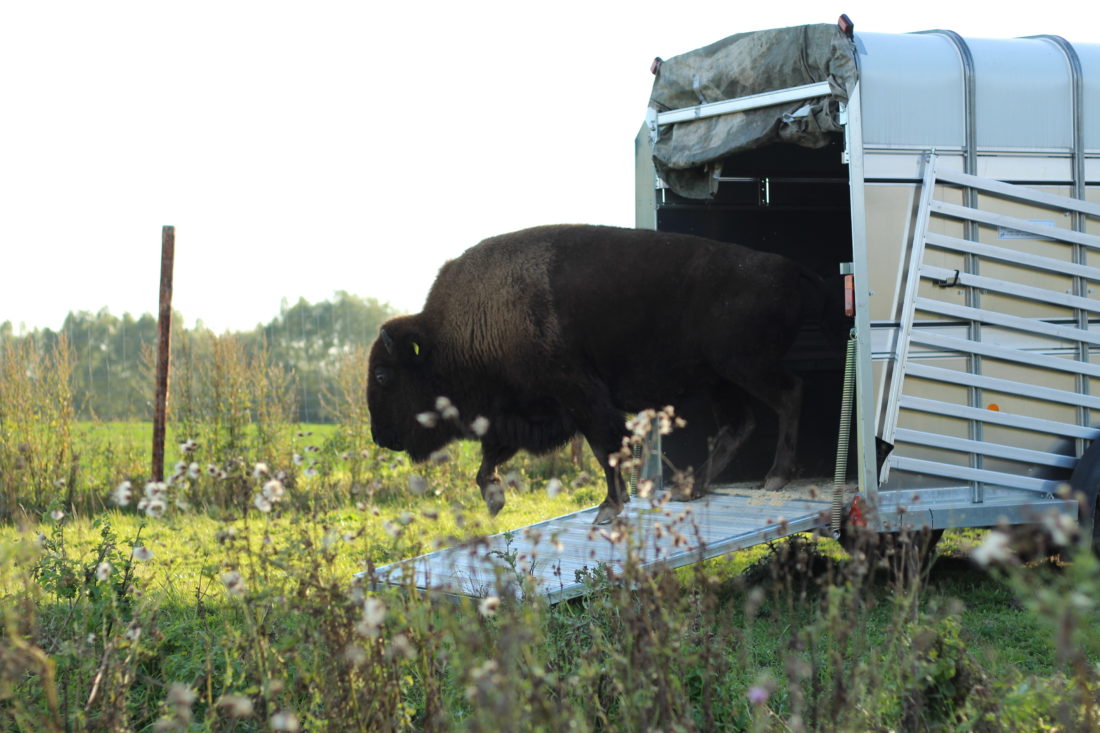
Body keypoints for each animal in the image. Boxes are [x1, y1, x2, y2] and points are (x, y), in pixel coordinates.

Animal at [367, 224, 831, 526]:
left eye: (384, 377)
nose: (381, 437)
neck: (452, 332)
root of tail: (787, 266)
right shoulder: (524, 413)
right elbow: (489, 461)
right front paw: (495, 500)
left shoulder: (581, 398)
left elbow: (606, 448)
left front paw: (609, 510)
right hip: (722, 380)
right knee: (740, 425)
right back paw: (693, 486)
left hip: (744, 367)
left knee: (789, 395)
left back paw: (775, 476)